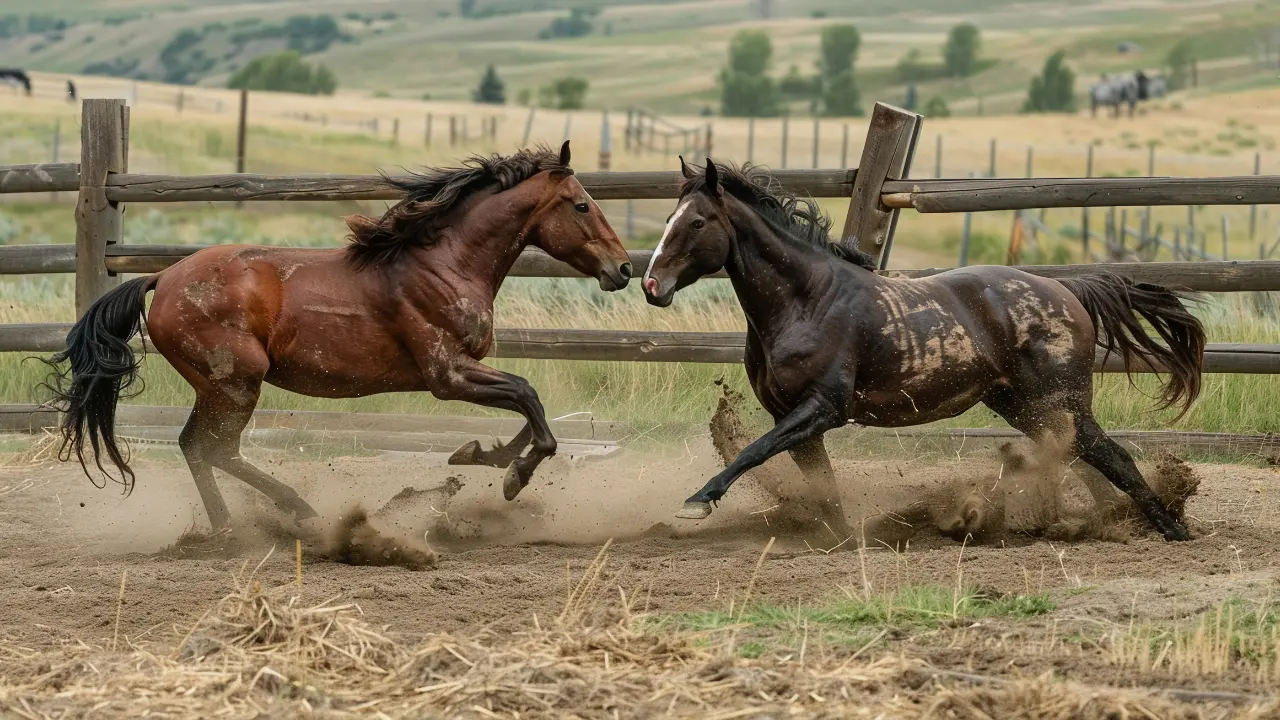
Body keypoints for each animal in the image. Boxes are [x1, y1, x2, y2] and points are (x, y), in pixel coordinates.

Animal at [45, 142, 634, 532]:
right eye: (582, 204)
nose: (624, 269)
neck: (444, 263)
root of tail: (162, 278)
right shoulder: (447, 374)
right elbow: (529, 398)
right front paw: (511, 474)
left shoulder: (463, 371)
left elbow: (526, 404)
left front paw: (480, 454)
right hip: (236, 384)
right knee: (212, 448)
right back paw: (286, 514)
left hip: (217, 387)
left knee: (198, 447)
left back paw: (233, 526)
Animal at [642, 159, 1205, 542]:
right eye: (669, 217)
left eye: (696, 222)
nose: (651, 285)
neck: (808, 301)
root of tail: (1067, 290)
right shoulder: (794, 418)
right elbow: (822, 488)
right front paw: (843, 539)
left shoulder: (822, 408)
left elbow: (753, 451)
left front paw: (696, 503)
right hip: (1022, 405)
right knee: (1085, 458)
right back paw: (1105, 522)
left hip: (1059, 399)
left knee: (1112, 456)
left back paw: (1169, 528)